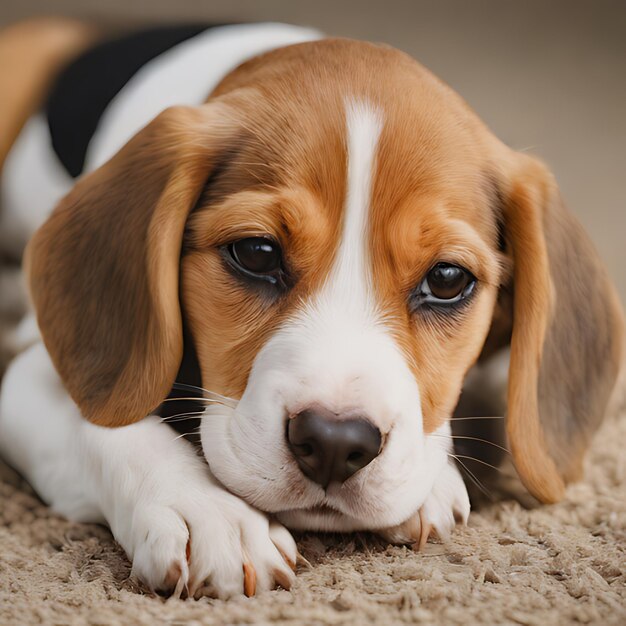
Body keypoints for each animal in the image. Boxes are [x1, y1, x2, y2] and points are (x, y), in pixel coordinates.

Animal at [0, 18, 620, 596]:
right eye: (255, 252)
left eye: (447, 280)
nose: (333, 444)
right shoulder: (29, 371)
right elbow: (109, 424)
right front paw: (208, 512)